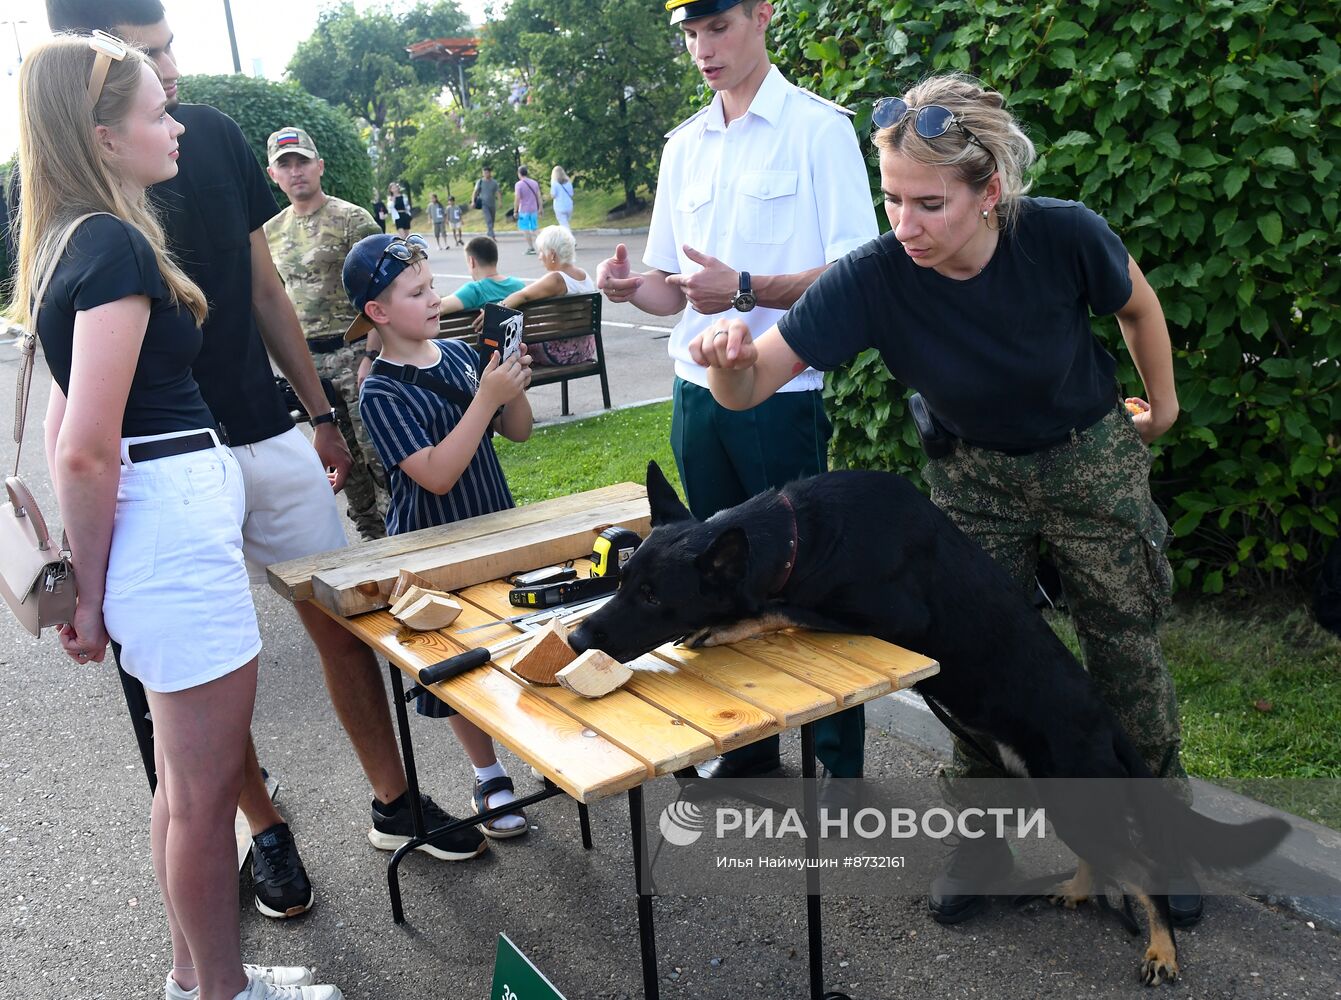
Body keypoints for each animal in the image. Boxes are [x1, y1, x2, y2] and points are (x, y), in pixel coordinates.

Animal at [568, 463, 1287, 986]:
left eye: (653, 596)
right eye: (622, 579)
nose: (577, 637)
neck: (798, 536)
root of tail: (1109, 721)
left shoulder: (892, 618)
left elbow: (783, 607)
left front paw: (723, 627)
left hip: (1073, 793)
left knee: (1141, 870)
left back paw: (1162, 951)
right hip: (1056, 793)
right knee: (1108, 858)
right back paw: (1080, 892)